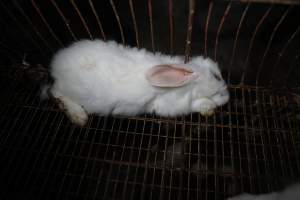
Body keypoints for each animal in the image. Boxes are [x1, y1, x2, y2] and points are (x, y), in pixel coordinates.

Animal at [42, 39, 230, 126]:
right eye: (217, 77)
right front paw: (209, 107)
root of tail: (56, 64)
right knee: (54, 92)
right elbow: (196, 104)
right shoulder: (171, 105)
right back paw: (78, 116)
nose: (228, 97)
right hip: (67, 90)